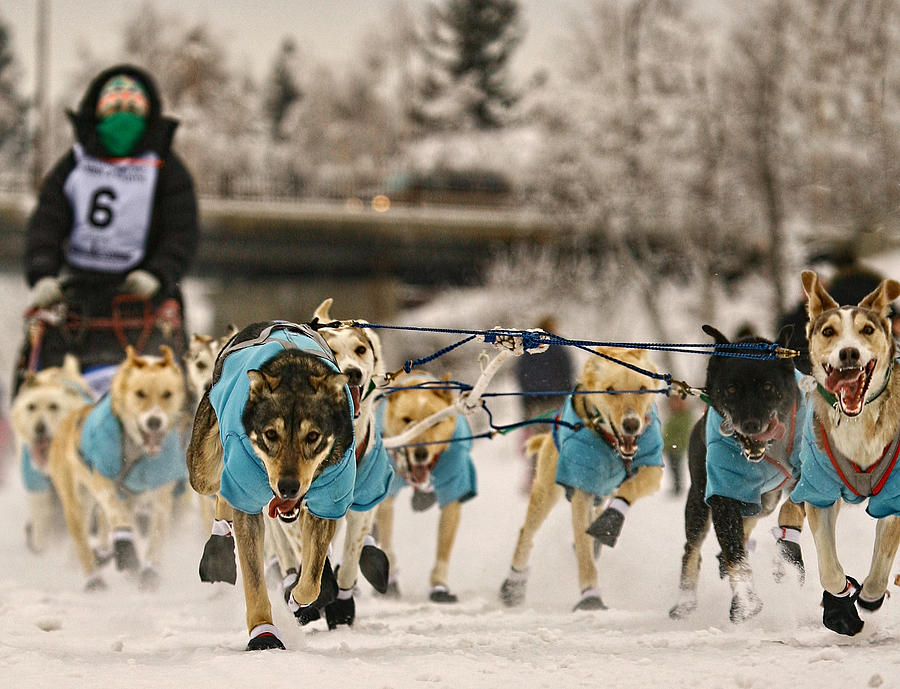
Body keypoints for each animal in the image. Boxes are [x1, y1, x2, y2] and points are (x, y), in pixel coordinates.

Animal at [186, 320, 356, 648]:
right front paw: (263, 633)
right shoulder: (246, 499)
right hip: (204, 470)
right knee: (220, 487)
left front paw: (296, 601)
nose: (288, 486)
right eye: (270, 434)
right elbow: (254, 581)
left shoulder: (327, 504)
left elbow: (312, 581)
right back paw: (218, 547)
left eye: (313, 436)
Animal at [500, 346, 668, 612]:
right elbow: (583, 547)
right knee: (527, 532)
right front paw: (590, 596)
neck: (611, 444)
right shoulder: (581, 488)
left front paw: (611, 520)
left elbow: (631, 487)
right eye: (610, 390)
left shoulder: (652, 467)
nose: (632, 424)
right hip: (546, 491)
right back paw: (513, 584)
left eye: (642, 389)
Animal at [668, 326, 808, 624]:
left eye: (768, 387)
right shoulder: (723, 493)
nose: (751, 424)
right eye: (731, 389)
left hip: (764, 503)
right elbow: (735, 552)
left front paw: (786, 561)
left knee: (750, 522)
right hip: (699, 501)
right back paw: (685, 603)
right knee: (693, 548)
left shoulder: (809, 475)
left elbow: (792, 511)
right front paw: (745, 601)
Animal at [792, 268, 900, 636]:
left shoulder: (894, 495)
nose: (849, 353)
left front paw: (868, 596)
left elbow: (880, 567)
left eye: (867, 330)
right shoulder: (818, 489)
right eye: (829, 332)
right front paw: (840, 601)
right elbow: (829, 567)